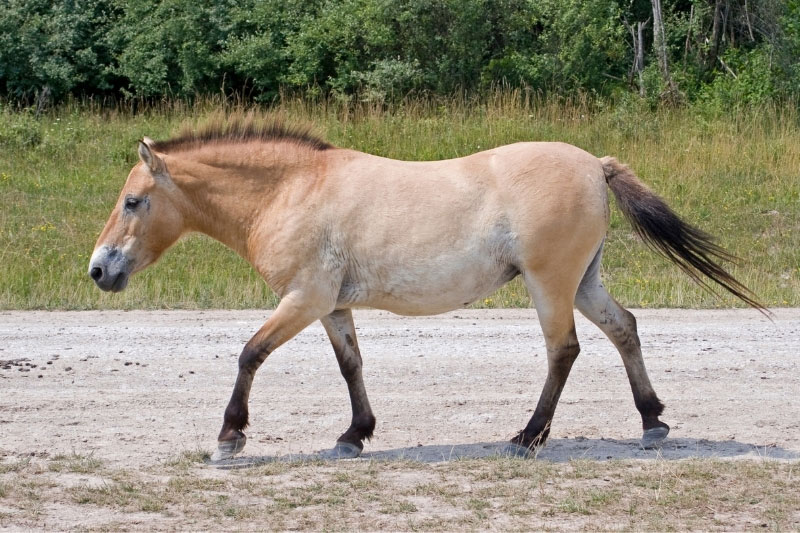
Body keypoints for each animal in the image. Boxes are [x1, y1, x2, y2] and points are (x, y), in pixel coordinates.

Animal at [89, 116, 764, 461]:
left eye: (133, 201)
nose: (98, 270)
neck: (291, 189)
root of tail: (594, 165)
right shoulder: (332, 306)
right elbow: (352, 366)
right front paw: (354, 435)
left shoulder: (303, 300)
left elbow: (250, 353)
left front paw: (230, 437)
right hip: (583, 281)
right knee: (625, 328)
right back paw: (651, 422)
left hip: (551, 284)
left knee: (563, 350)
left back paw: (528, 437)